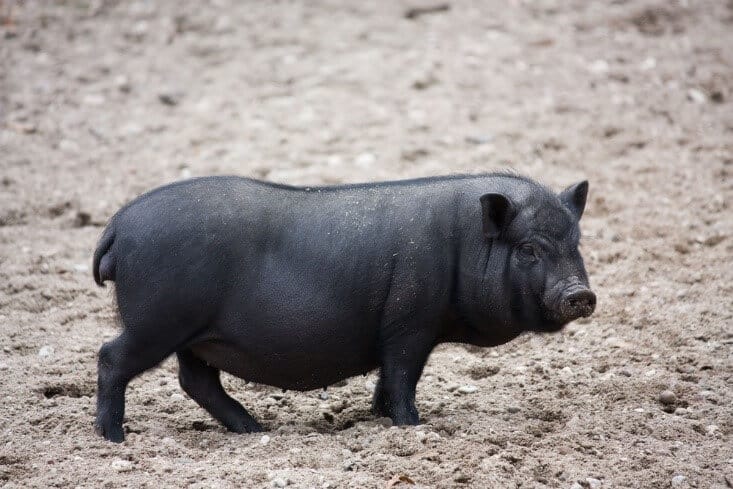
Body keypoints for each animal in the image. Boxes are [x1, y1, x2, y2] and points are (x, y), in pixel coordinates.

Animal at [91, 173, 596, 440]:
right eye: (528, 249)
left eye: (575, 242)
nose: (581, 295)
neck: (466, 243)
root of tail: (117, 225)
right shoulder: (410, 324)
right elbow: (403, 376)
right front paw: (412, 427)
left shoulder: (408, 332)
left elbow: (389, 379)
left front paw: (378, 416)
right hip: (159, 319)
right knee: (112, 358)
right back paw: (114, 437)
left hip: (192, 334)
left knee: (195, 380)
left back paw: (255, 429)